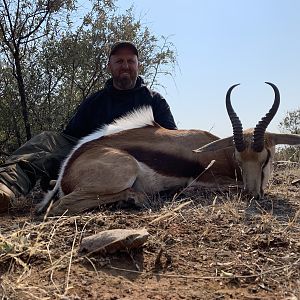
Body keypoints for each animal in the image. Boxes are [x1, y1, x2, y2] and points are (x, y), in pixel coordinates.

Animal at [37, 82, 300, 214]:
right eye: (239, 157)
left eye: (265, 158)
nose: (252, 194)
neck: (220, 155)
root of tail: (66, 172)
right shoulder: (202, 182)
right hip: (125, 169)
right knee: (60, 206)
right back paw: (135, 199)